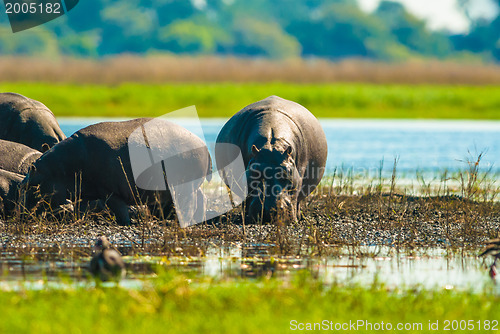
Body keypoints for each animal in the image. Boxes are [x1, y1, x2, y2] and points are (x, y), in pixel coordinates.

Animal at [23, 118, 211, 226]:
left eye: (33, 186)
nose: (25, 214)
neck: (57, 169)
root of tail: (201, 142)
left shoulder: (110, 192)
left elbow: (119, 209)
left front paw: (126, 222)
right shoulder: (85, 192)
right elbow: (81, 207)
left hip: (184, 186)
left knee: (190, 204)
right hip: (191, 185)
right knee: (202, 199)